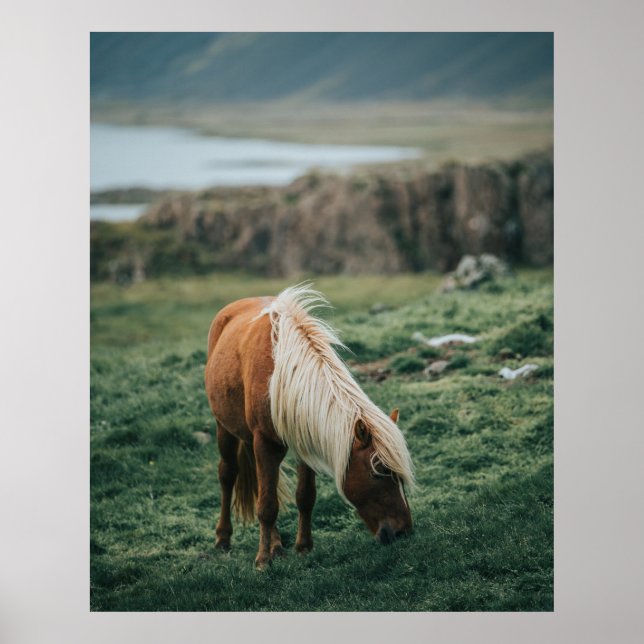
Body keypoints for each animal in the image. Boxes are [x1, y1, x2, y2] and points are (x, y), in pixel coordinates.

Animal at [204, 284, 414, 568]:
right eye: (378, 472)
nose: (404, 532)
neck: (281, 374)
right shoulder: (265, 443)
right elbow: (267, 505)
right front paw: (262, 561)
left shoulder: (305, 440)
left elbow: (304, 497)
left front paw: (303, 547)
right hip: (224, 429)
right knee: (227, 475)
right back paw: (223, 539)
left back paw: (276, 544)